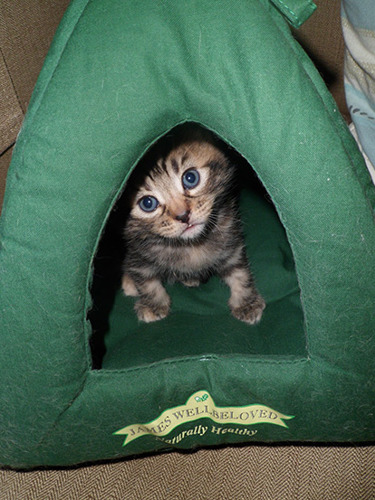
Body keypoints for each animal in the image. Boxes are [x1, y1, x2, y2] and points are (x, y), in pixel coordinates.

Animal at [122, 125, 266, 324]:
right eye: (148, 203)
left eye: (190, 178)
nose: (183, 216)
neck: (191, 245)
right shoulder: (138, 253)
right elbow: (147, 282)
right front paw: (154, 305)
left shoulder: (231, 243)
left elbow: (240, 273)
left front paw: (246, 302)